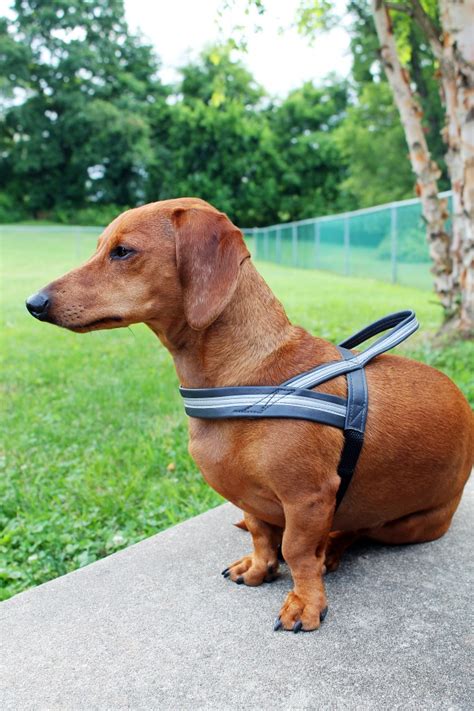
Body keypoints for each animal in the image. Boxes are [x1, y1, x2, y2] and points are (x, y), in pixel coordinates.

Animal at [26, 199, 474, 636]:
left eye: (123, 251)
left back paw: (330, 548)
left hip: (402, 525)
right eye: (100, 246)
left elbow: (297, 549)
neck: (250, 376)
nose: (34, 303)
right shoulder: (249, 497)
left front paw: (306, 601)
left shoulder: (308, 497)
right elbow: (261, 534)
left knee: (353, 530)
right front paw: (259, 567)